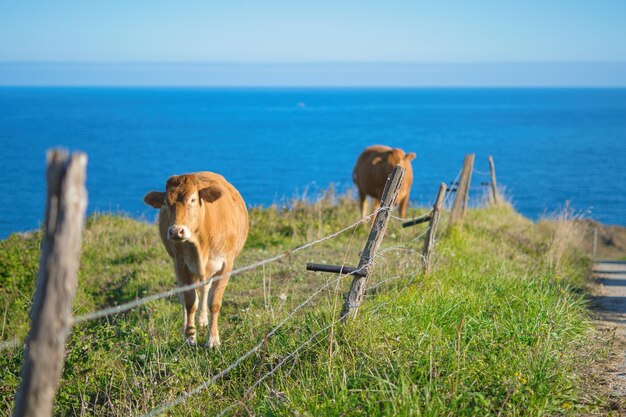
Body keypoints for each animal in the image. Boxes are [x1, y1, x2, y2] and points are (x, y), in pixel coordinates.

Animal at [143, 171, 247, 346]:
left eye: (192, 199)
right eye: (165, 202)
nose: (176, 231)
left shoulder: (226, 264)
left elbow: (214, 302)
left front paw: (213, 339)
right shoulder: (181, 264)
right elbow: (190, 302)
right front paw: (190, 337)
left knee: (205, 288)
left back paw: (203, 319)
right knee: (185, 295)